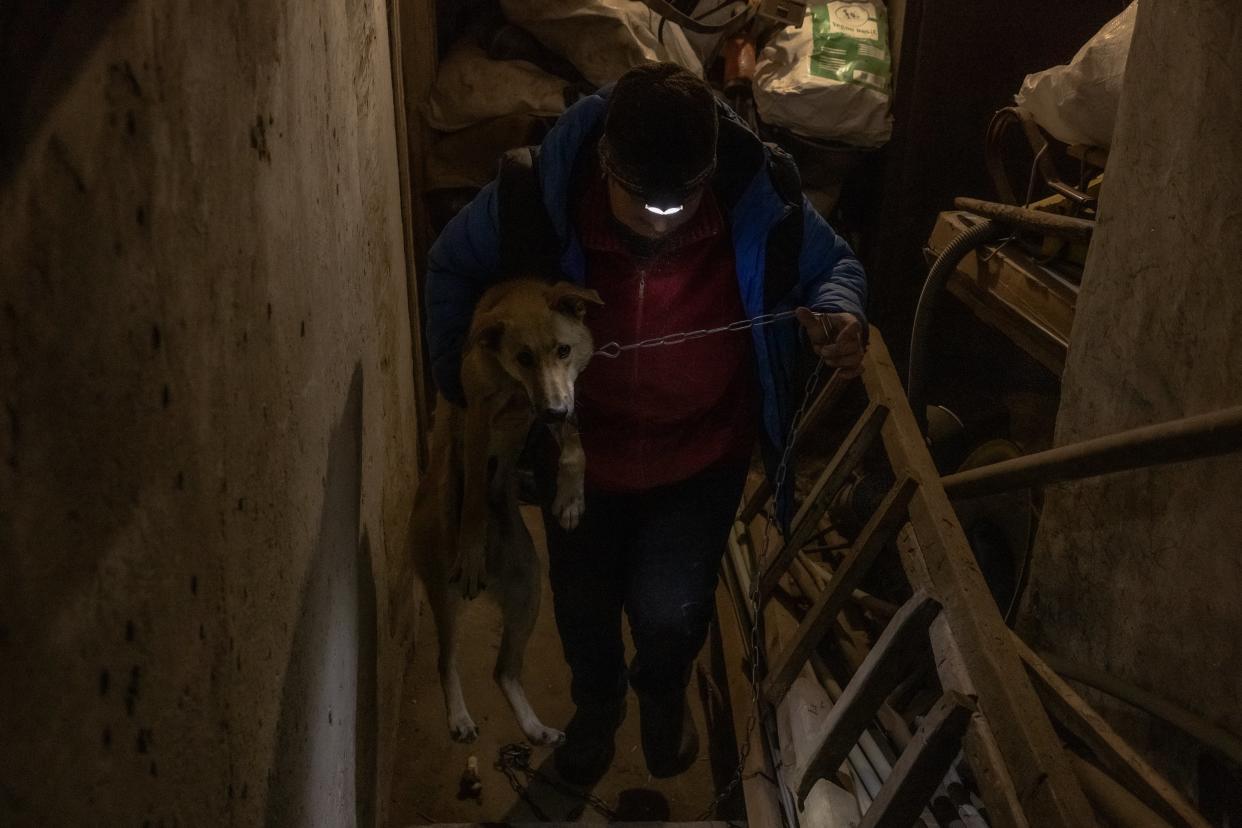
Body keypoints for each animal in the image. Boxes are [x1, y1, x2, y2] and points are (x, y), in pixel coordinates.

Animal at [412, 280, 601, 744]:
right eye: (523, 357)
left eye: (564, 350)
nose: (552, 411)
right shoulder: (479, 412)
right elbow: (476, 497)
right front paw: (471, 547)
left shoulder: (552, 402)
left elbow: (575, 446)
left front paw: (571, 500)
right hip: (445, 595)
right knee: (446, 660)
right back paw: (459, 716)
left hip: (529, 592)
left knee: (504, 671)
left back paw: (534, 727)